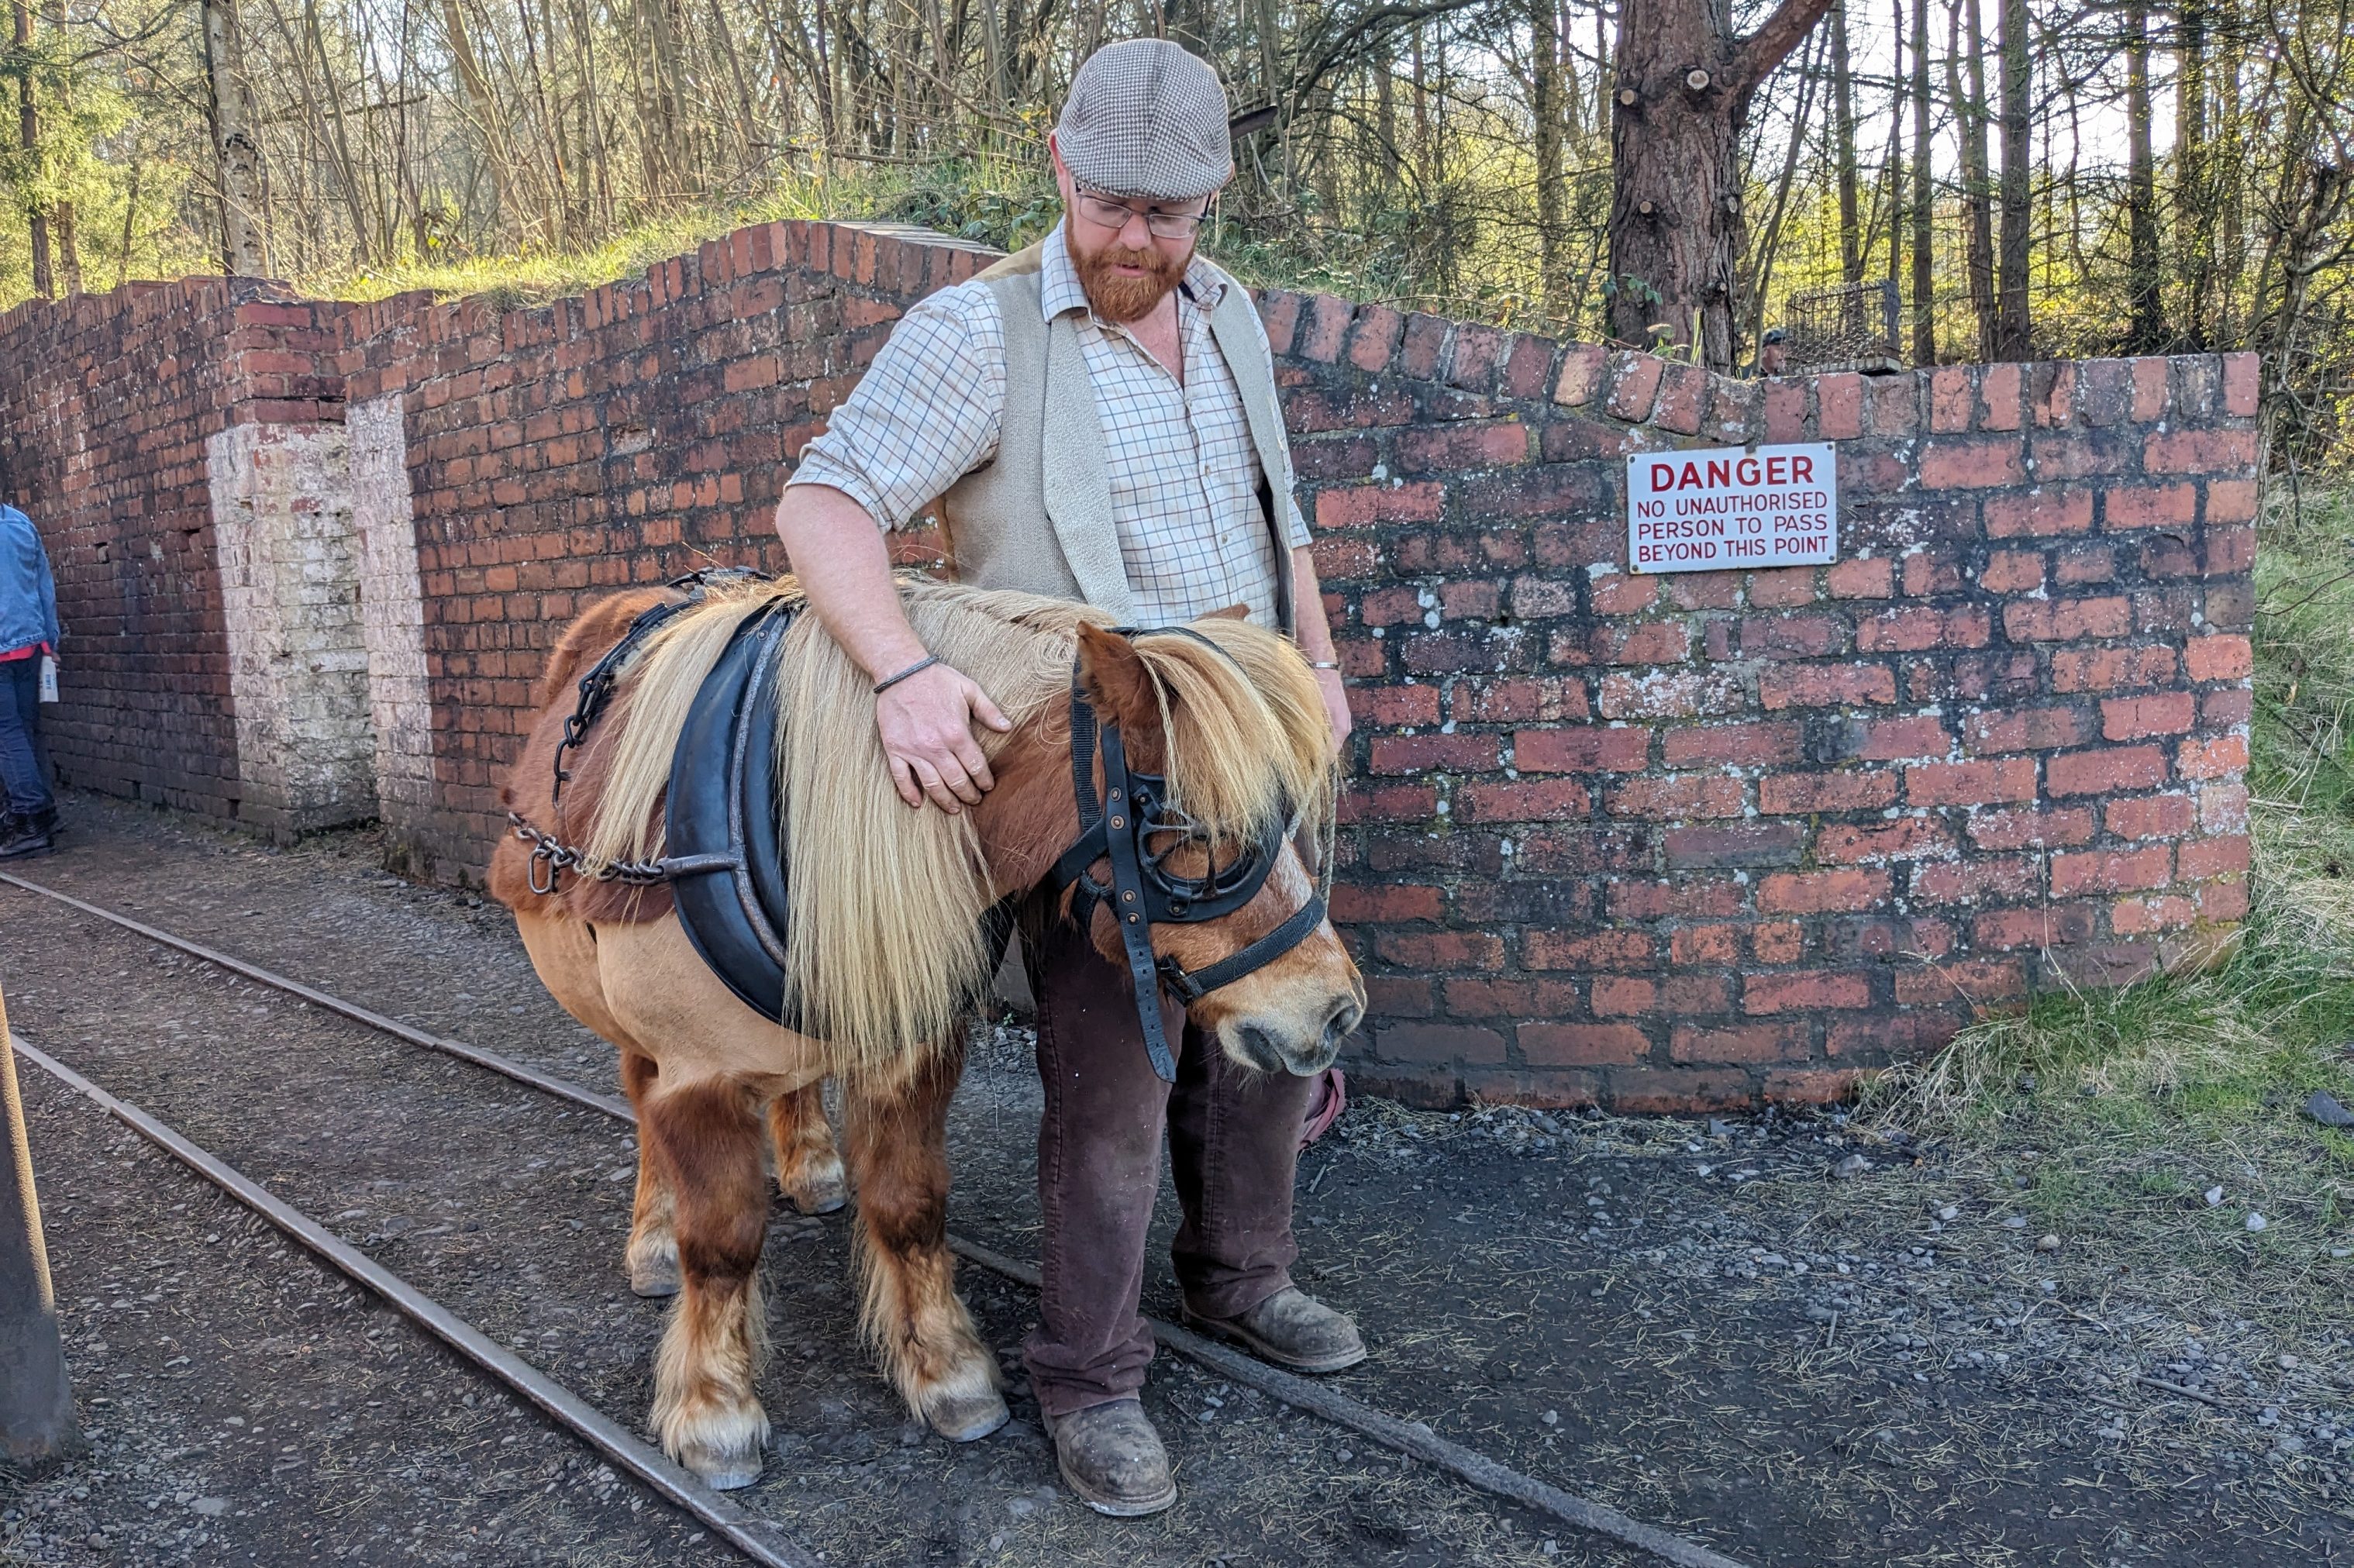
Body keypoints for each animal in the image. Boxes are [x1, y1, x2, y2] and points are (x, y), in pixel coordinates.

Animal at [485, 575, 1364, 1489]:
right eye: (1195, 832)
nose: (1335, 1010)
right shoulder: (697, 1076)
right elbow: (721, 1243)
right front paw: (714, 1412)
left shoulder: (910, 1051)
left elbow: (910, 1209)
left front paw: (947, 1372)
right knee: (640, 1099)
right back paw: (653, 1239)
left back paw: (811, 1165)